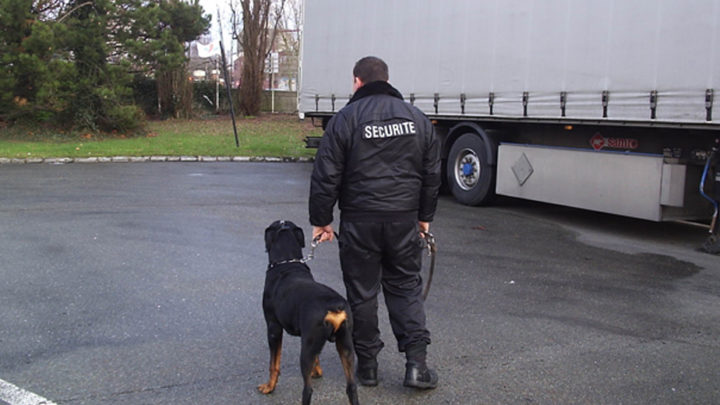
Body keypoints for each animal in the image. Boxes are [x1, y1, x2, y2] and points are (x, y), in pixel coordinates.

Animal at [258, 221, 360, 404]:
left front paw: (269, 387)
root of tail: (334, 306)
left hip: (306, 348)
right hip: (345, 344)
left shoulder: (273, 327)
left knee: (308, 390)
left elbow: (274, 363)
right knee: (352, 387)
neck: (287, 263)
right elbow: (317, 359)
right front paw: (317, 372)